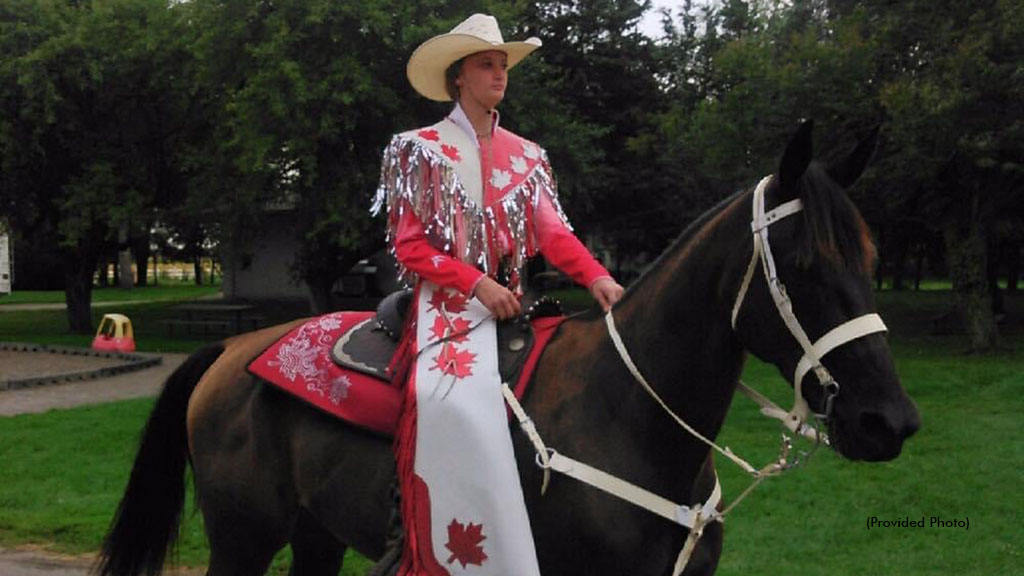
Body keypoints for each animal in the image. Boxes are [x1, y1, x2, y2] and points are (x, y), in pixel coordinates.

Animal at [97, 121, 921, 573]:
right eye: (805, 265)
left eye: (872, 258)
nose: (890, 421)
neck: (629, 416)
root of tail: (233, 352)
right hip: (242, 541)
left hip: (316, 538)